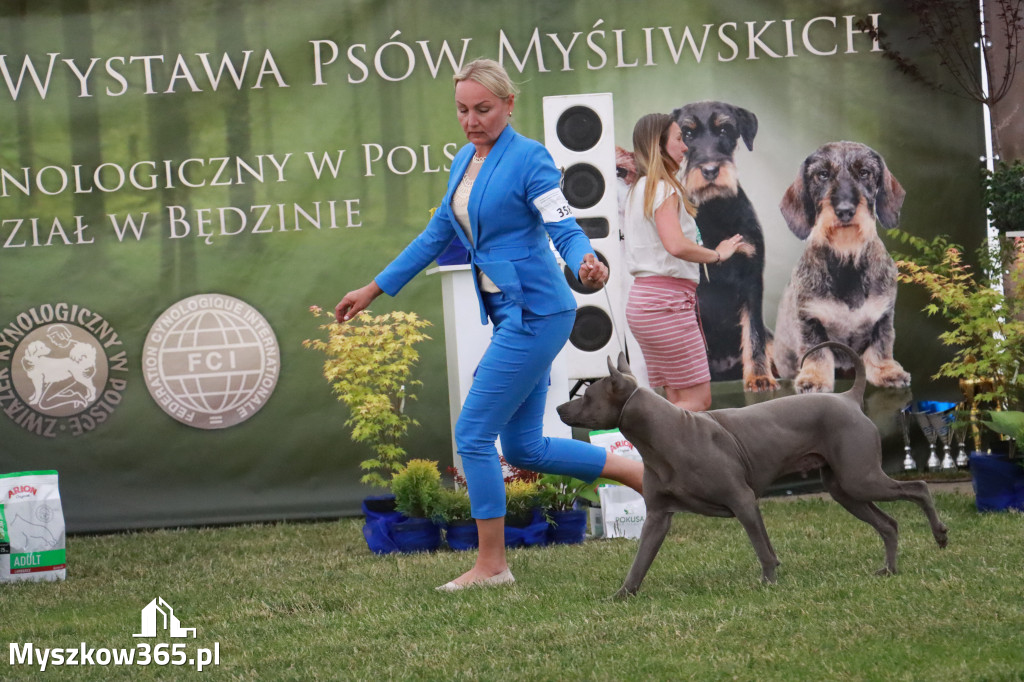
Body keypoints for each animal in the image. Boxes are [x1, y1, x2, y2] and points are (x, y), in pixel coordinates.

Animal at [557, 339, 946, 593]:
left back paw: (940, 535)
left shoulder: (743, 501)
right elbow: (639, 562)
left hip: (860, 478)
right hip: (845, 490)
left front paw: (768, 582)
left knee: (919, 488)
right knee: (889, 524)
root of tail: (849, 398)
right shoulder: (656, 517)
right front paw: (622, 595)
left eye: (586, 396)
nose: (559, 408)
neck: (664, 435)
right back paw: (889, 570)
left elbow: (763, 550)